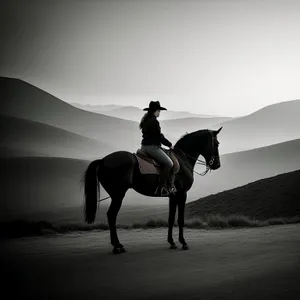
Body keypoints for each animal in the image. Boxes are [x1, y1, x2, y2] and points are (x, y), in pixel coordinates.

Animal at [82, 126, 223, 253]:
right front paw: (183, 243)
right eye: (217, 143)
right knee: (111, 216)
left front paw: (172, 242)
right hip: (118, 195)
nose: (217, 165)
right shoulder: (182, 194)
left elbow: (171, 219)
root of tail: (103, 160)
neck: (183, 159)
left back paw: (117, 245)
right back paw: (117, 246)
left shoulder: (173, 196)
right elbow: (180, 219)